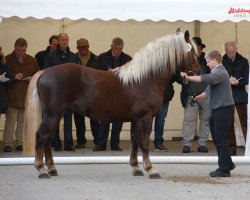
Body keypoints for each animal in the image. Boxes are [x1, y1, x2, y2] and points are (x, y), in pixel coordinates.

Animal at [23, 30, 199, 178]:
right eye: (192, 53)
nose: (196, 73)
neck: (145, 79)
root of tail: (44, 71)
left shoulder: (135, 119)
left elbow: (135, 141)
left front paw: (136, 168)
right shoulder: (146, 118)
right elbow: (144, 143)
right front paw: (150, 169)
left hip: (54, 115)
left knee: (47, 139)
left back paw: (52, 169)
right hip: (53, 114)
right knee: (42, 136)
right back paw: (42, 170)